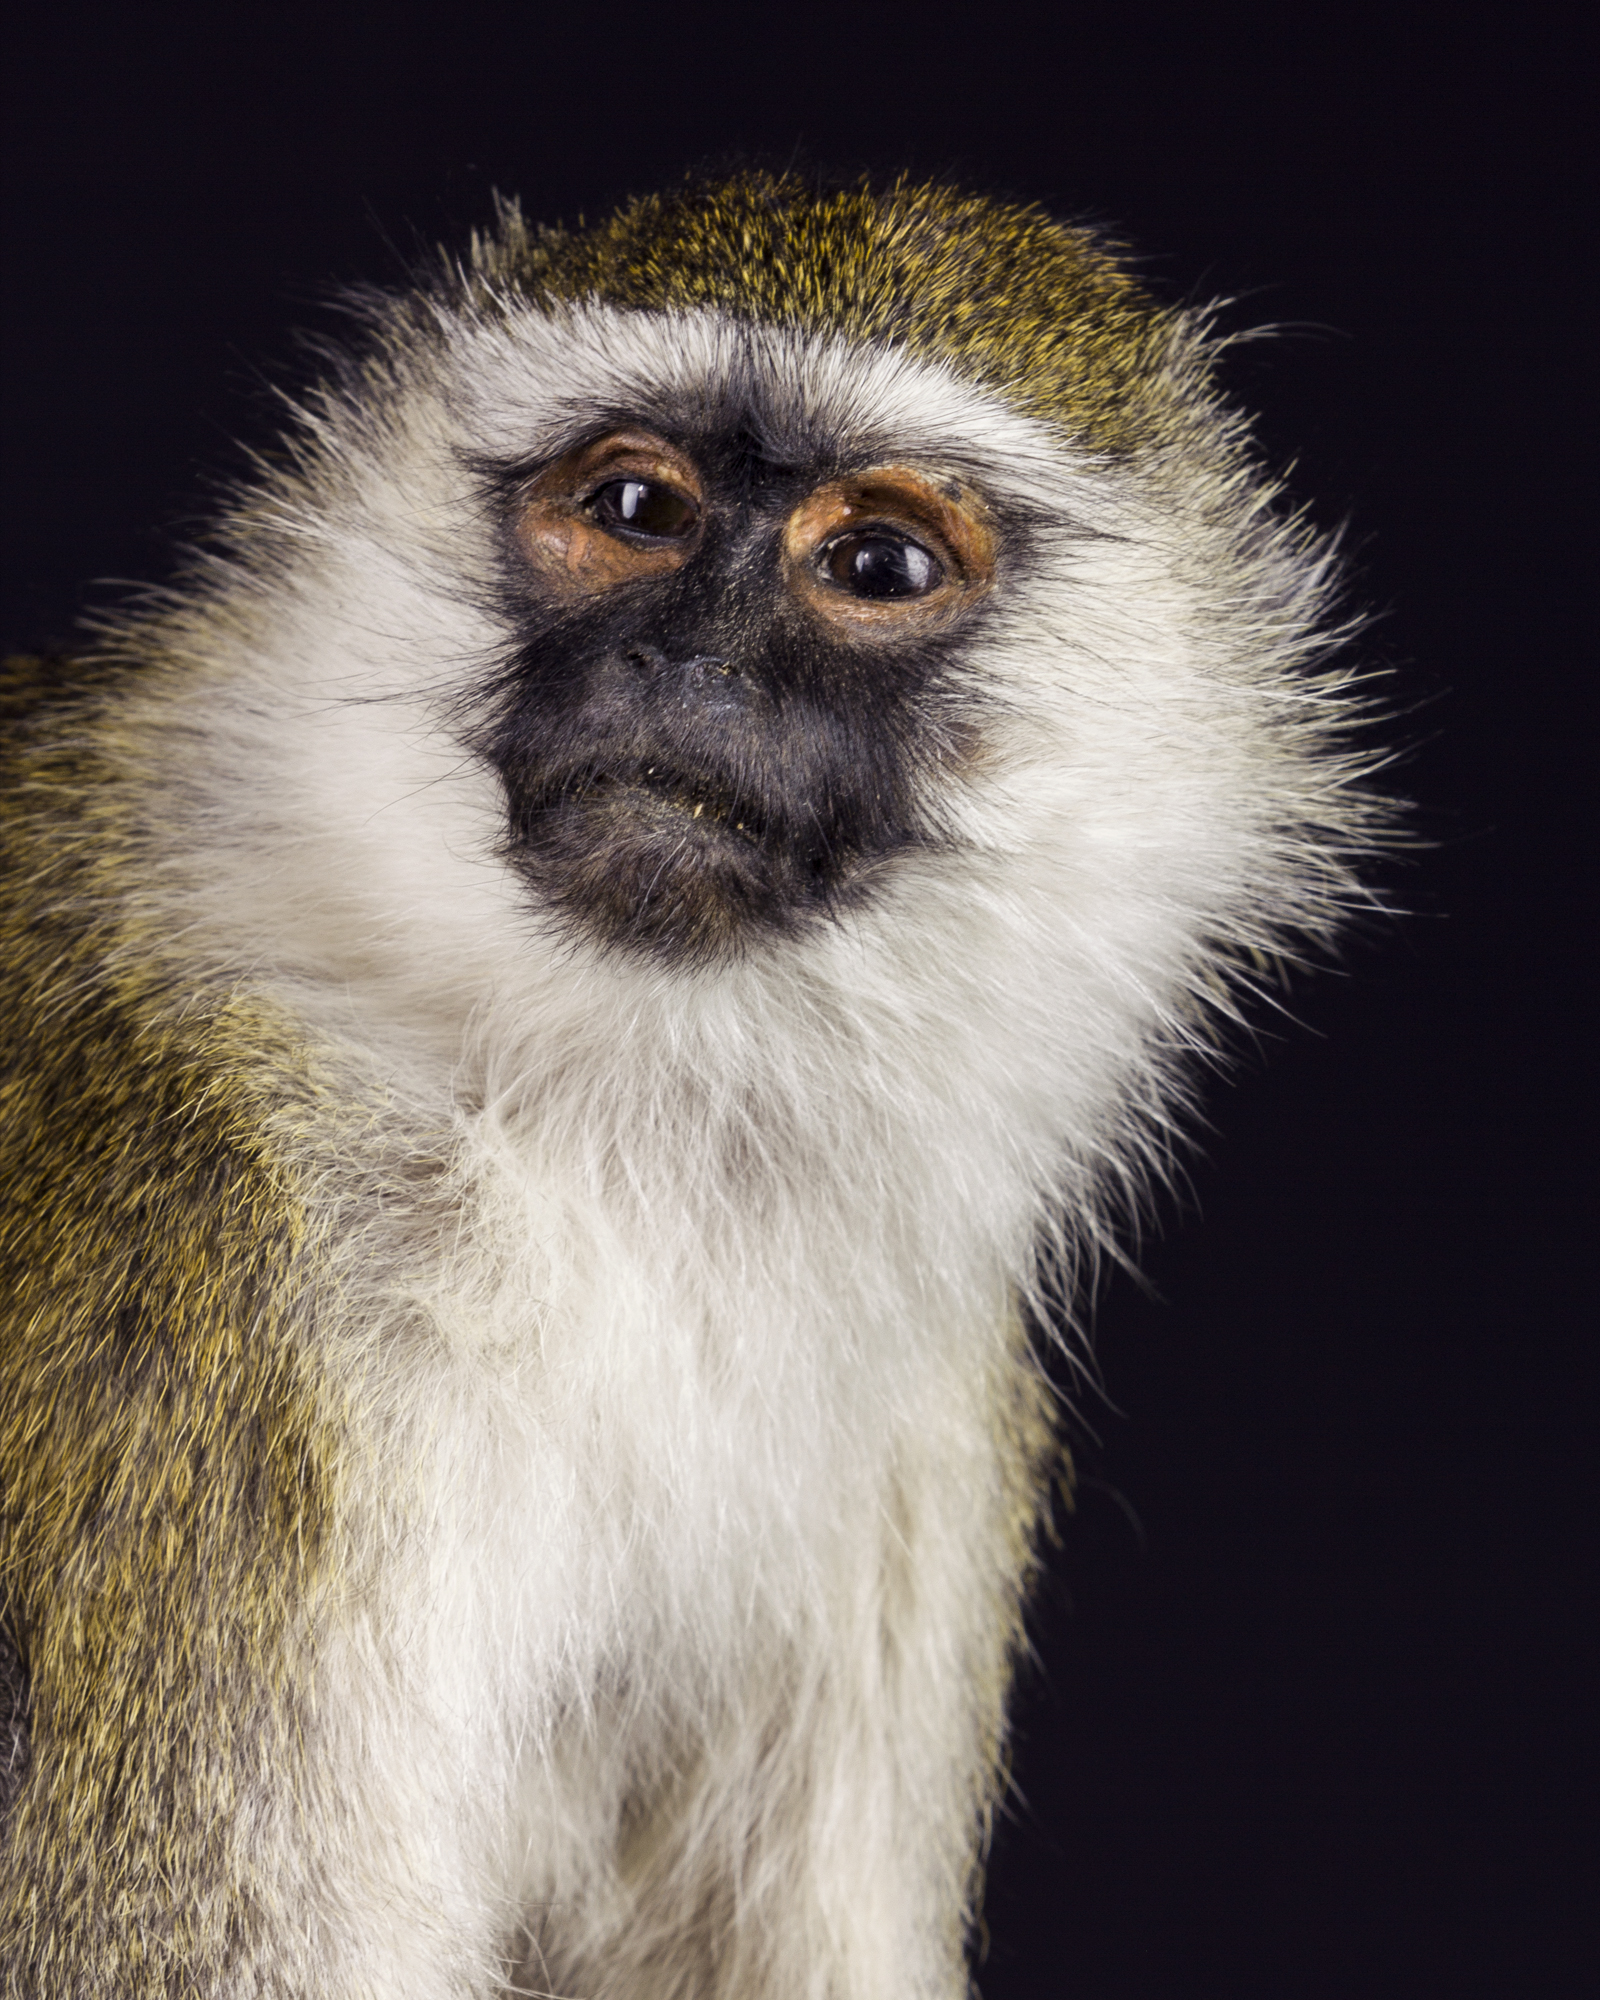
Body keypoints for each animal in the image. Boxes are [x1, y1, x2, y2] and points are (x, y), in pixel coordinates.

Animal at [0, 172, 1383, 1998]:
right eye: (637, 507)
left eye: (878, 564)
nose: (690, 670)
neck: (578, 1114)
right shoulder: (198, 1247)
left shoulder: (933, 1415)